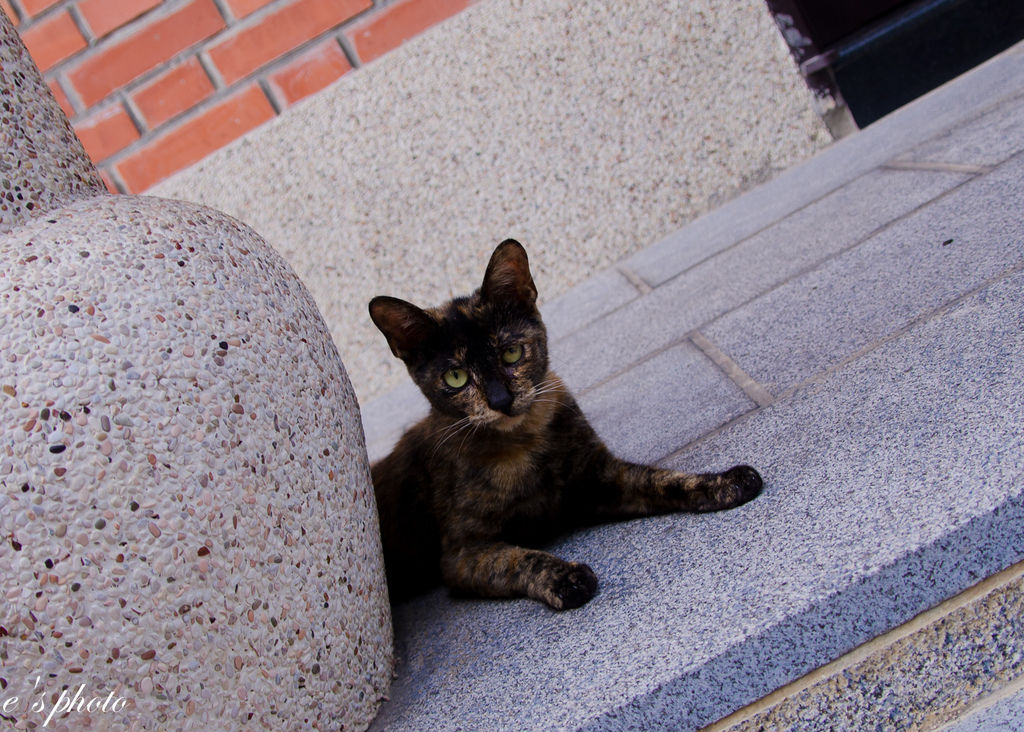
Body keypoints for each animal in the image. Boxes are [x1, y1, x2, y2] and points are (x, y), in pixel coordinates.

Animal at [368, 240, 761, 614]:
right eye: (456, 377)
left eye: (511, 353)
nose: (500, 400)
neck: (523, 443)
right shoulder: (462, 554)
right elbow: (515, 560)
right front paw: (564, 578)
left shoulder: (599, 477)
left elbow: (661, 478)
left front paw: (724, 482)